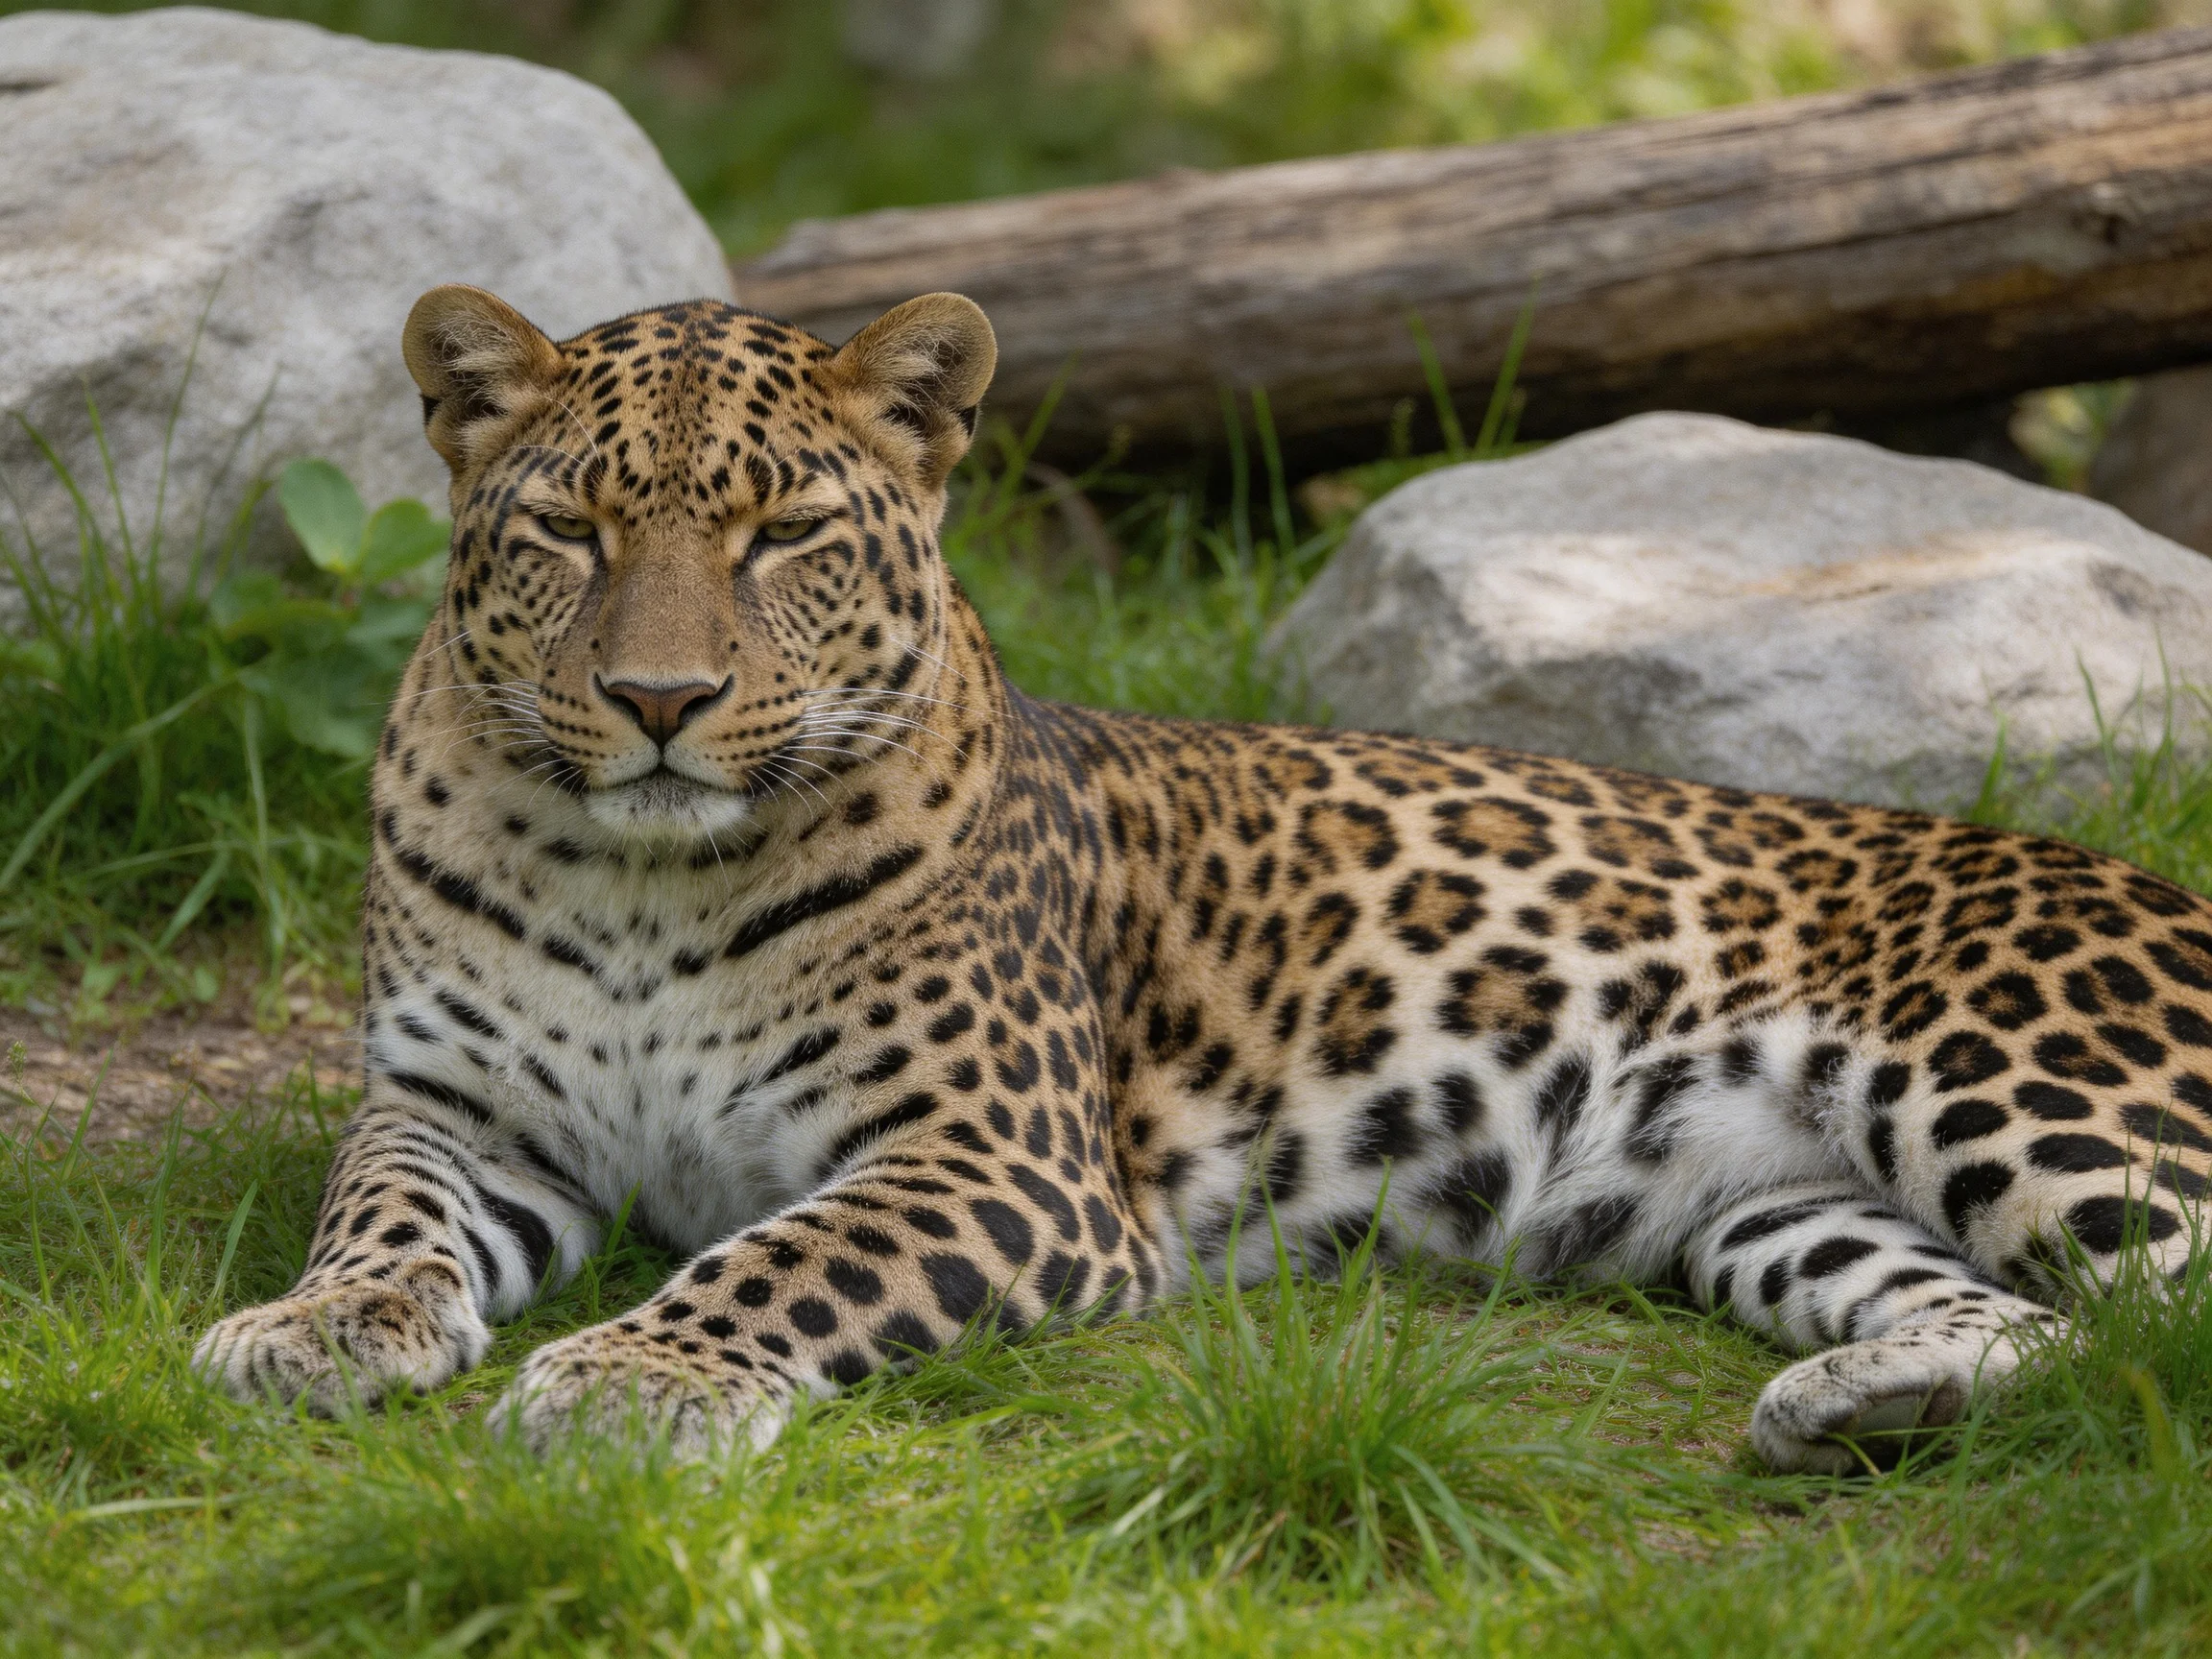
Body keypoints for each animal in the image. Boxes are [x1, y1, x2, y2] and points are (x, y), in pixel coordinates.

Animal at [194, 282, 2212, 1476]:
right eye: (567, 530)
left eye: (781, 535)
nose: (659, 702)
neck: (640, 883)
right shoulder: (456, 1105)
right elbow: (379, 1212)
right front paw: (316, 1325)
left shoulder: (995, 1159)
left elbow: (780, 1256)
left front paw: (639, 1374)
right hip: (1779, 1209)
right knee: (2051, 1326)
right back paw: (1862, 1402)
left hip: (2016, 1095)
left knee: (2163, 1317)